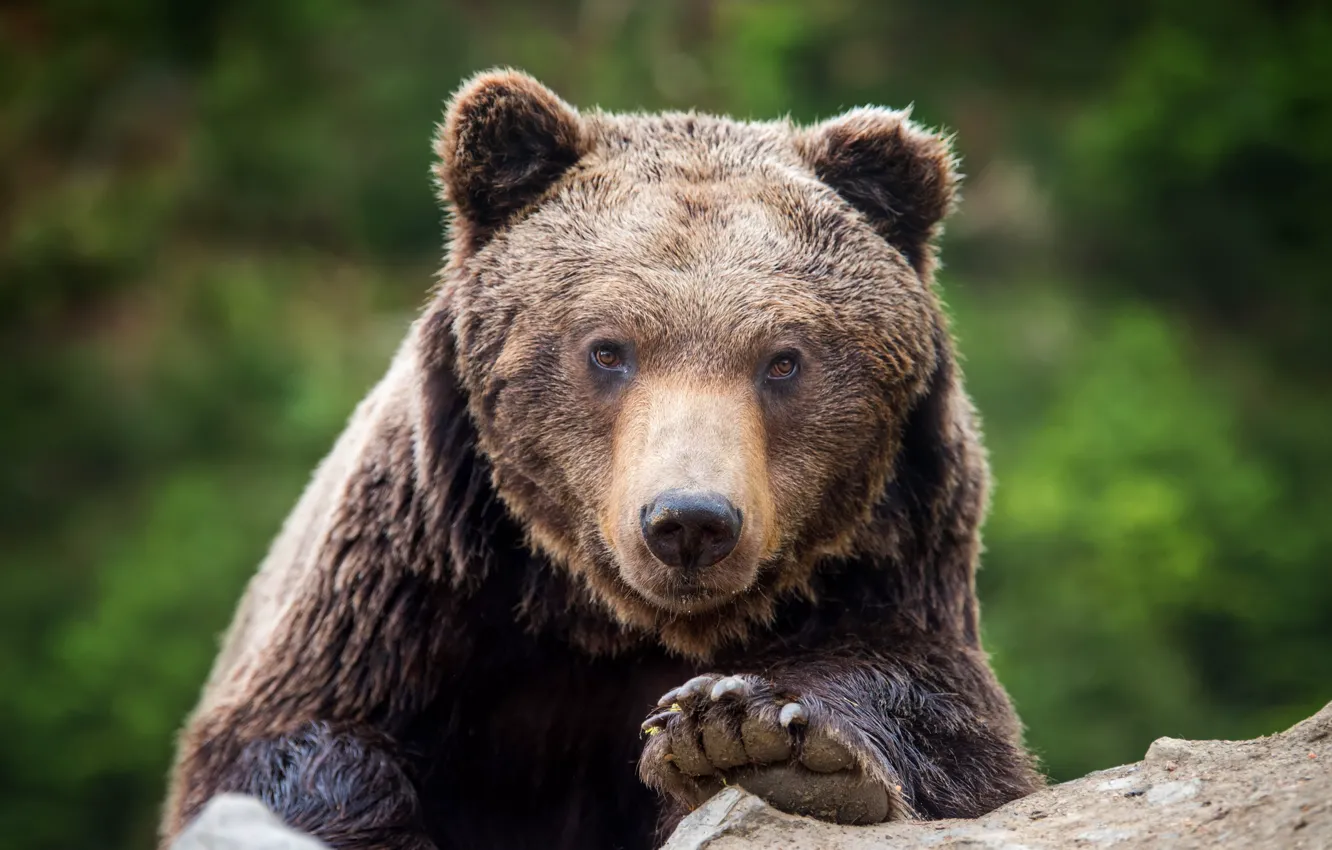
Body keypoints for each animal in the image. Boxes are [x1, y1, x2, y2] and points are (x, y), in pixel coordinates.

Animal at [160, 69, 1042, 850]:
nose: (690, 521)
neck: (603, 620)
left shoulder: (888, 561)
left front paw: (752, 736)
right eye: (608, 349)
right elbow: (288, 745)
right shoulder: (413, 584)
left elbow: (949, 721)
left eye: (784, 360)